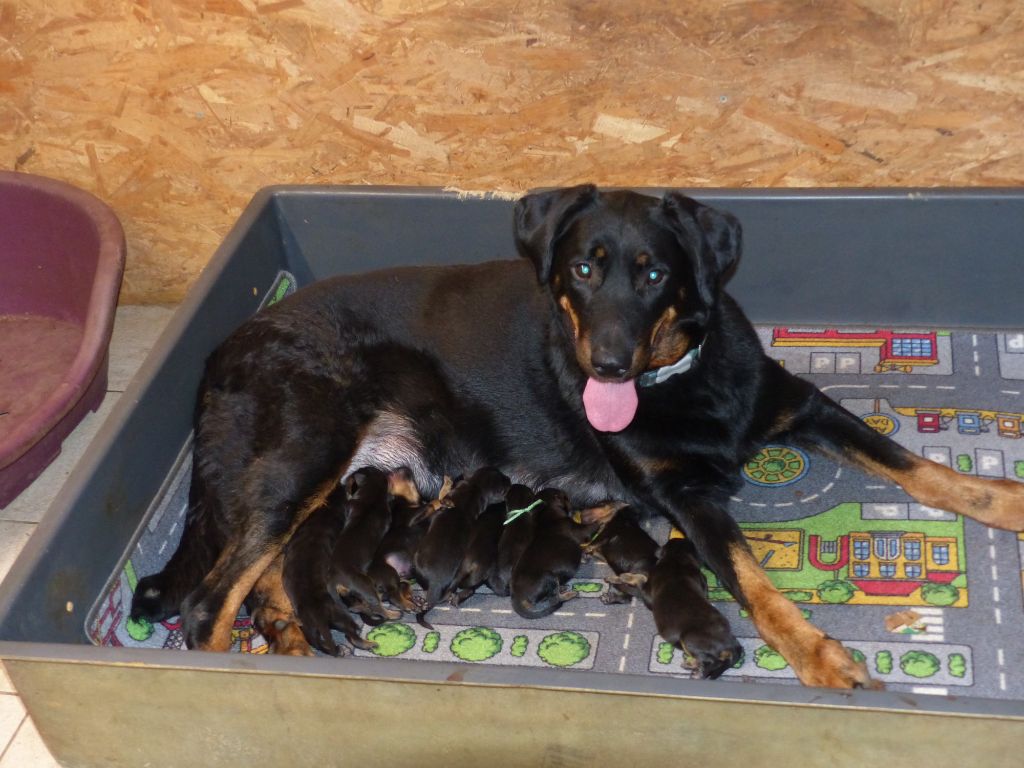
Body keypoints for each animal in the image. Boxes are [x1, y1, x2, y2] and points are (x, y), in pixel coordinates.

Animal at [507, 489, 598, 622]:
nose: (576, 510)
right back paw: (570, 594)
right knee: (555, 599)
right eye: (566, 498)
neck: (545, 512)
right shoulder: (580, 530)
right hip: (549, 577)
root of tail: (516, 596)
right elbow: (594, 525)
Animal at [643, 536, 741, 684]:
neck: (676, 557)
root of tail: (730, 642)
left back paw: (697, 672)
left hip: (688, 639)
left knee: (713, 661)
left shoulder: (649, 591)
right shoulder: (702, 580)